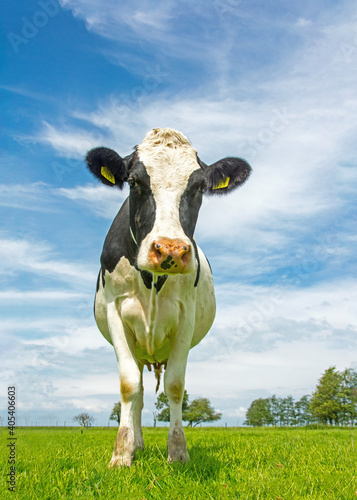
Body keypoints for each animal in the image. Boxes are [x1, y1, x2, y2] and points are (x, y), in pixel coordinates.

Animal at [85, 127, 250, 466]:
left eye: (199, 187)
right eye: (134, 181)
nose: (170, 250)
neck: (153, 282)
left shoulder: (186, 316)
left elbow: (175, 386)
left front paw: (178, 452)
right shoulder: (115, 310)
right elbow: (128, 385)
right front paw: (121, 455)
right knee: (139, 392)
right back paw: (137, 443)